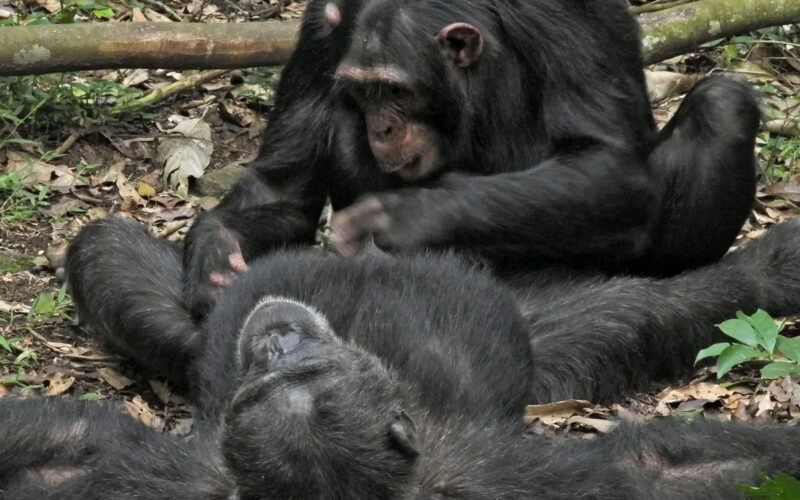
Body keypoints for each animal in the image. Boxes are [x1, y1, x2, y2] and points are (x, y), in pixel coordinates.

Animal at [183, 0, 764, 316]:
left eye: (396, 91)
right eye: (362, 92)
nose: (381, 126)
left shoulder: (565, 18)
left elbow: (607, 162)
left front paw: (406, 217)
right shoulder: (317, 29)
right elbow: (284, 186)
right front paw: (213, 254)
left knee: (723, 103)